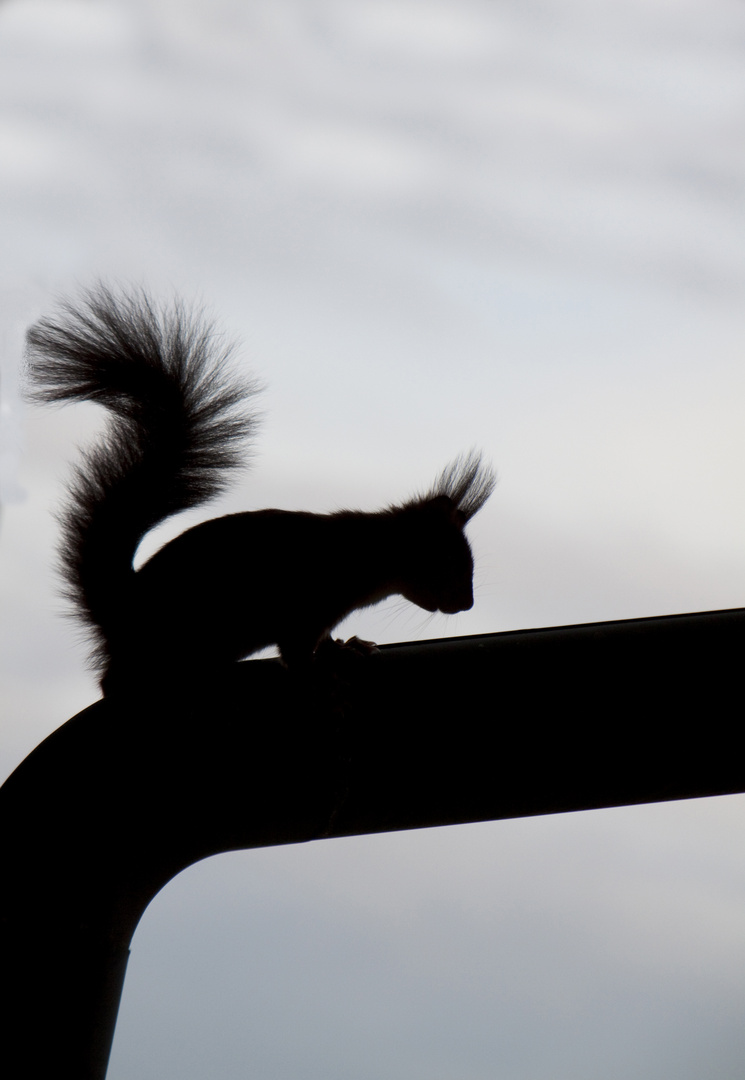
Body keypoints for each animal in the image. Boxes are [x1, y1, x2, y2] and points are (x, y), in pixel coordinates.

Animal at [26, 285, 492, 691]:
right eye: (449, 561)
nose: (468, 604)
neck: (367, 551)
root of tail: (121, 605)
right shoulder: (306, 604)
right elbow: (296, 654)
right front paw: (321, 671)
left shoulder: (320, 615)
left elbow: (323, 641)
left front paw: (346, 648)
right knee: (114, 680)